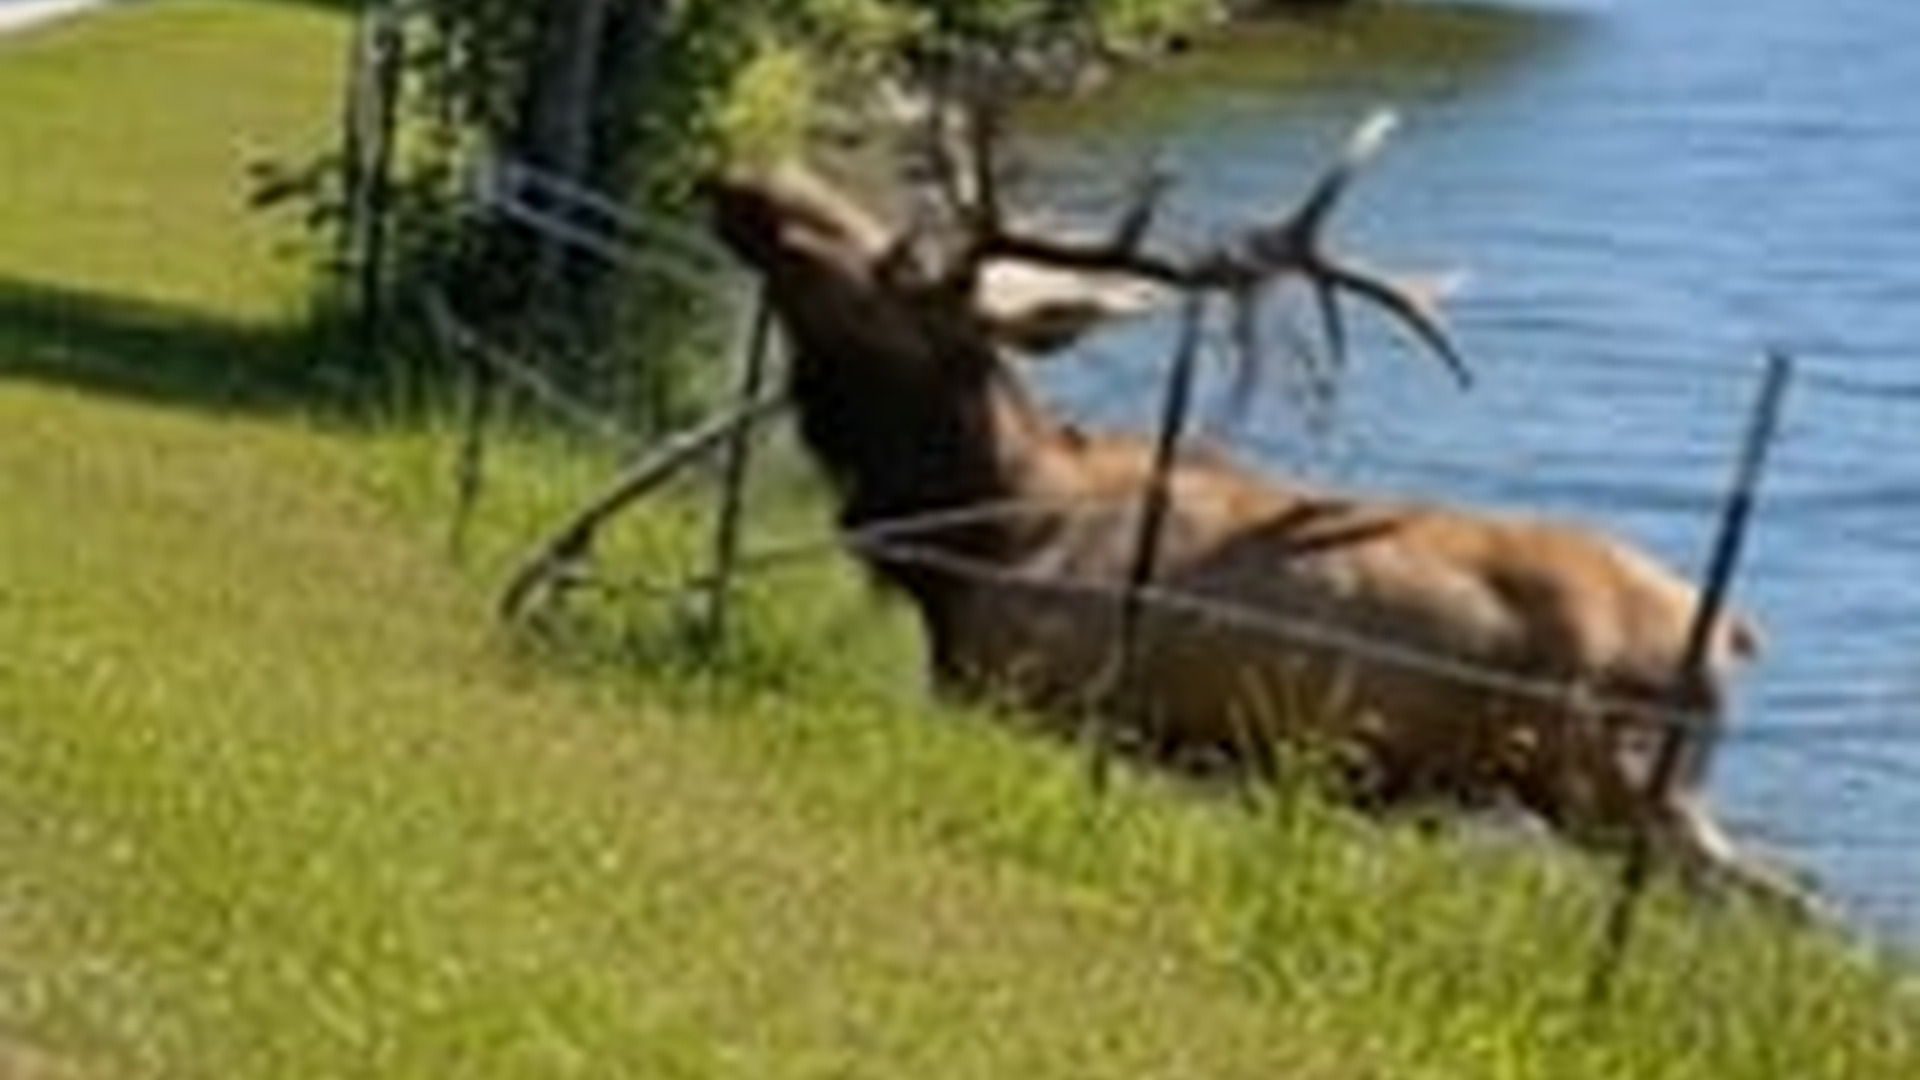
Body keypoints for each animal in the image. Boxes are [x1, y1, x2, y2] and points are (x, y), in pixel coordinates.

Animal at [702, 103, 1821, 919]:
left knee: (1774, 900)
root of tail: (1732, 628)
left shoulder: (1045, 698)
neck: (970, 532)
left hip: (1623, 778)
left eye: (886, 261)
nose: (740, 179)